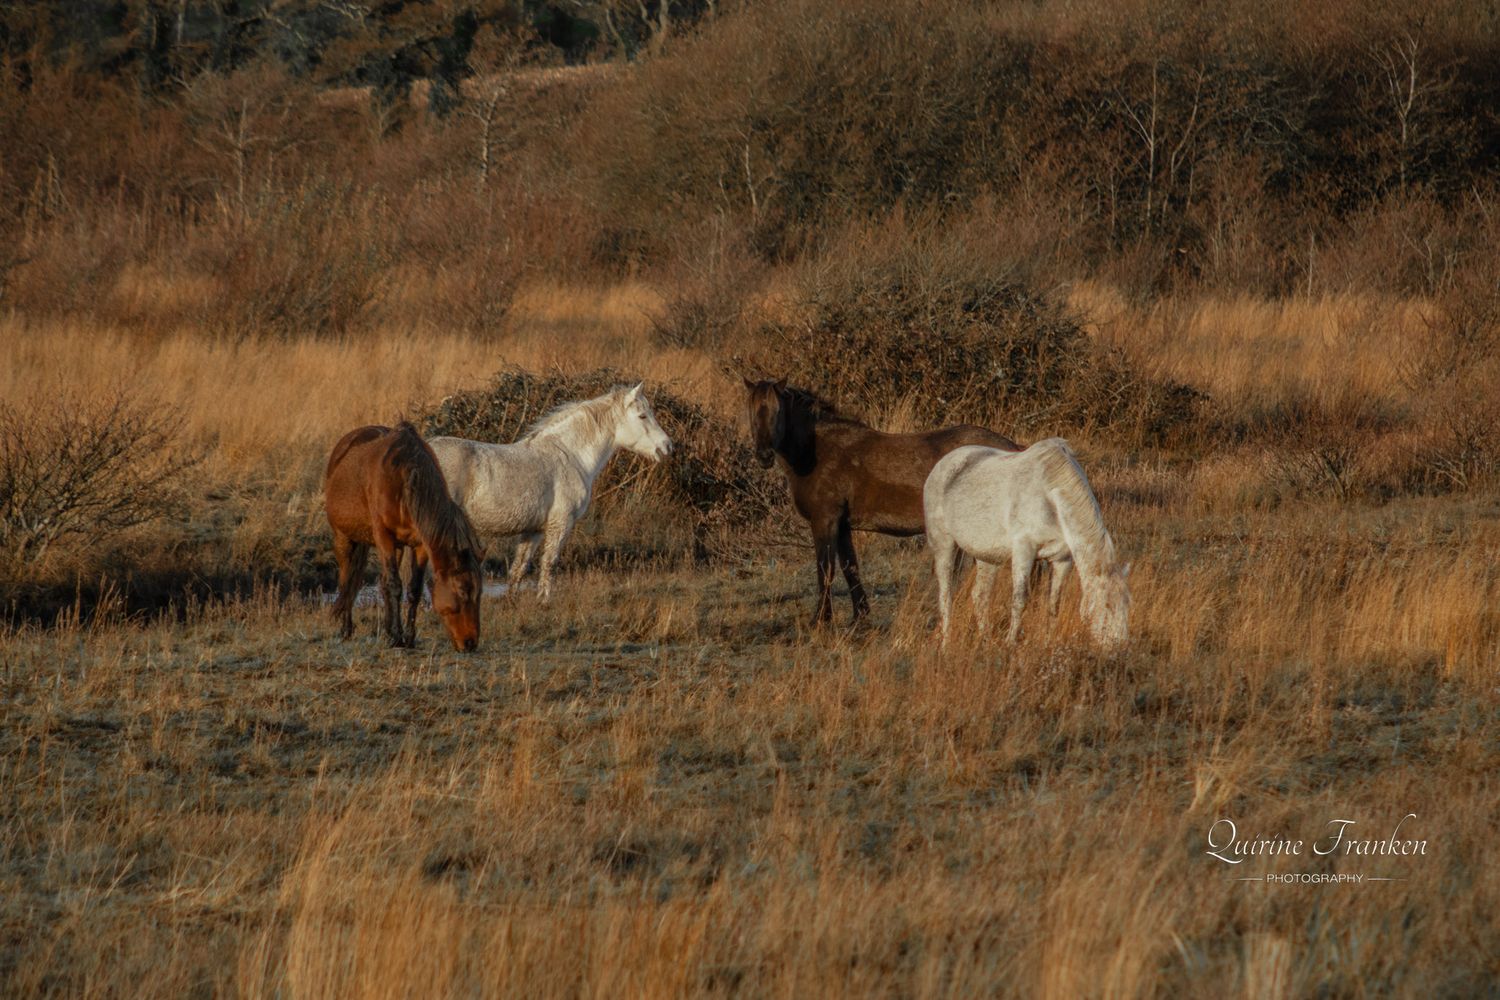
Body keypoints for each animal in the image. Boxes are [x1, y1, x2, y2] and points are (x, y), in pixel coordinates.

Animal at [324, 422, 485, 651]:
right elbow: (395, 586)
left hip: (397, 547)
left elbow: (413, 589)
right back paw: (346, 630)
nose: (470, 643)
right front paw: (398, 638)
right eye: (463, 590)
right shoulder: (384, 538)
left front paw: (406, 637)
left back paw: (387, 631)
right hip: (344, 539)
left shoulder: (420, 545)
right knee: (347, 581)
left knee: (381, 583)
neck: (403, 483)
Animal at [429, 383, 672, 600]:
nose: (667, 446)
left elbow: (519, 567)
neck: (570, 455)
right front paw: (543, 600)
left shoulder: (533, 530)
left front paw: (511, 601)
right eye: (642, 416)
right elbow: (549, 562)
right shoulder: (561, 522)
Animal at [742, 378, 1021, 626]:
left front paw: (820, 620)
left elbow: (825, 569)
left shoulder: (825, 521)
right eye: (751, 412)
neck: (816, 453)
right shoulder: (842, 526)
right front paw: (859, 616)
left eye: (778, 411)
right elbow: (849, 567)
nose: (764, 456)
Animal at [923, 439, 1130, 650]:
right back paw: (946, 642)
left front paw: (1048, 641)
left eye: (1127, 605)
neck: (1050, 499)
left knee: (980, 596)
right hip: (944, 545)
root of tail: (941, 466)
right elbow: (1020, 600)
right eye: (1107, 605)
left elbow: (1053, 603)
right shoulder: (1024, 551)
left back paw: (985, 640)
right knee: (946, 596)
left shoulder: (1062, 560)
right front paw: (1010, 642)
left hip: (987, 557)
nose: (1119, 648)